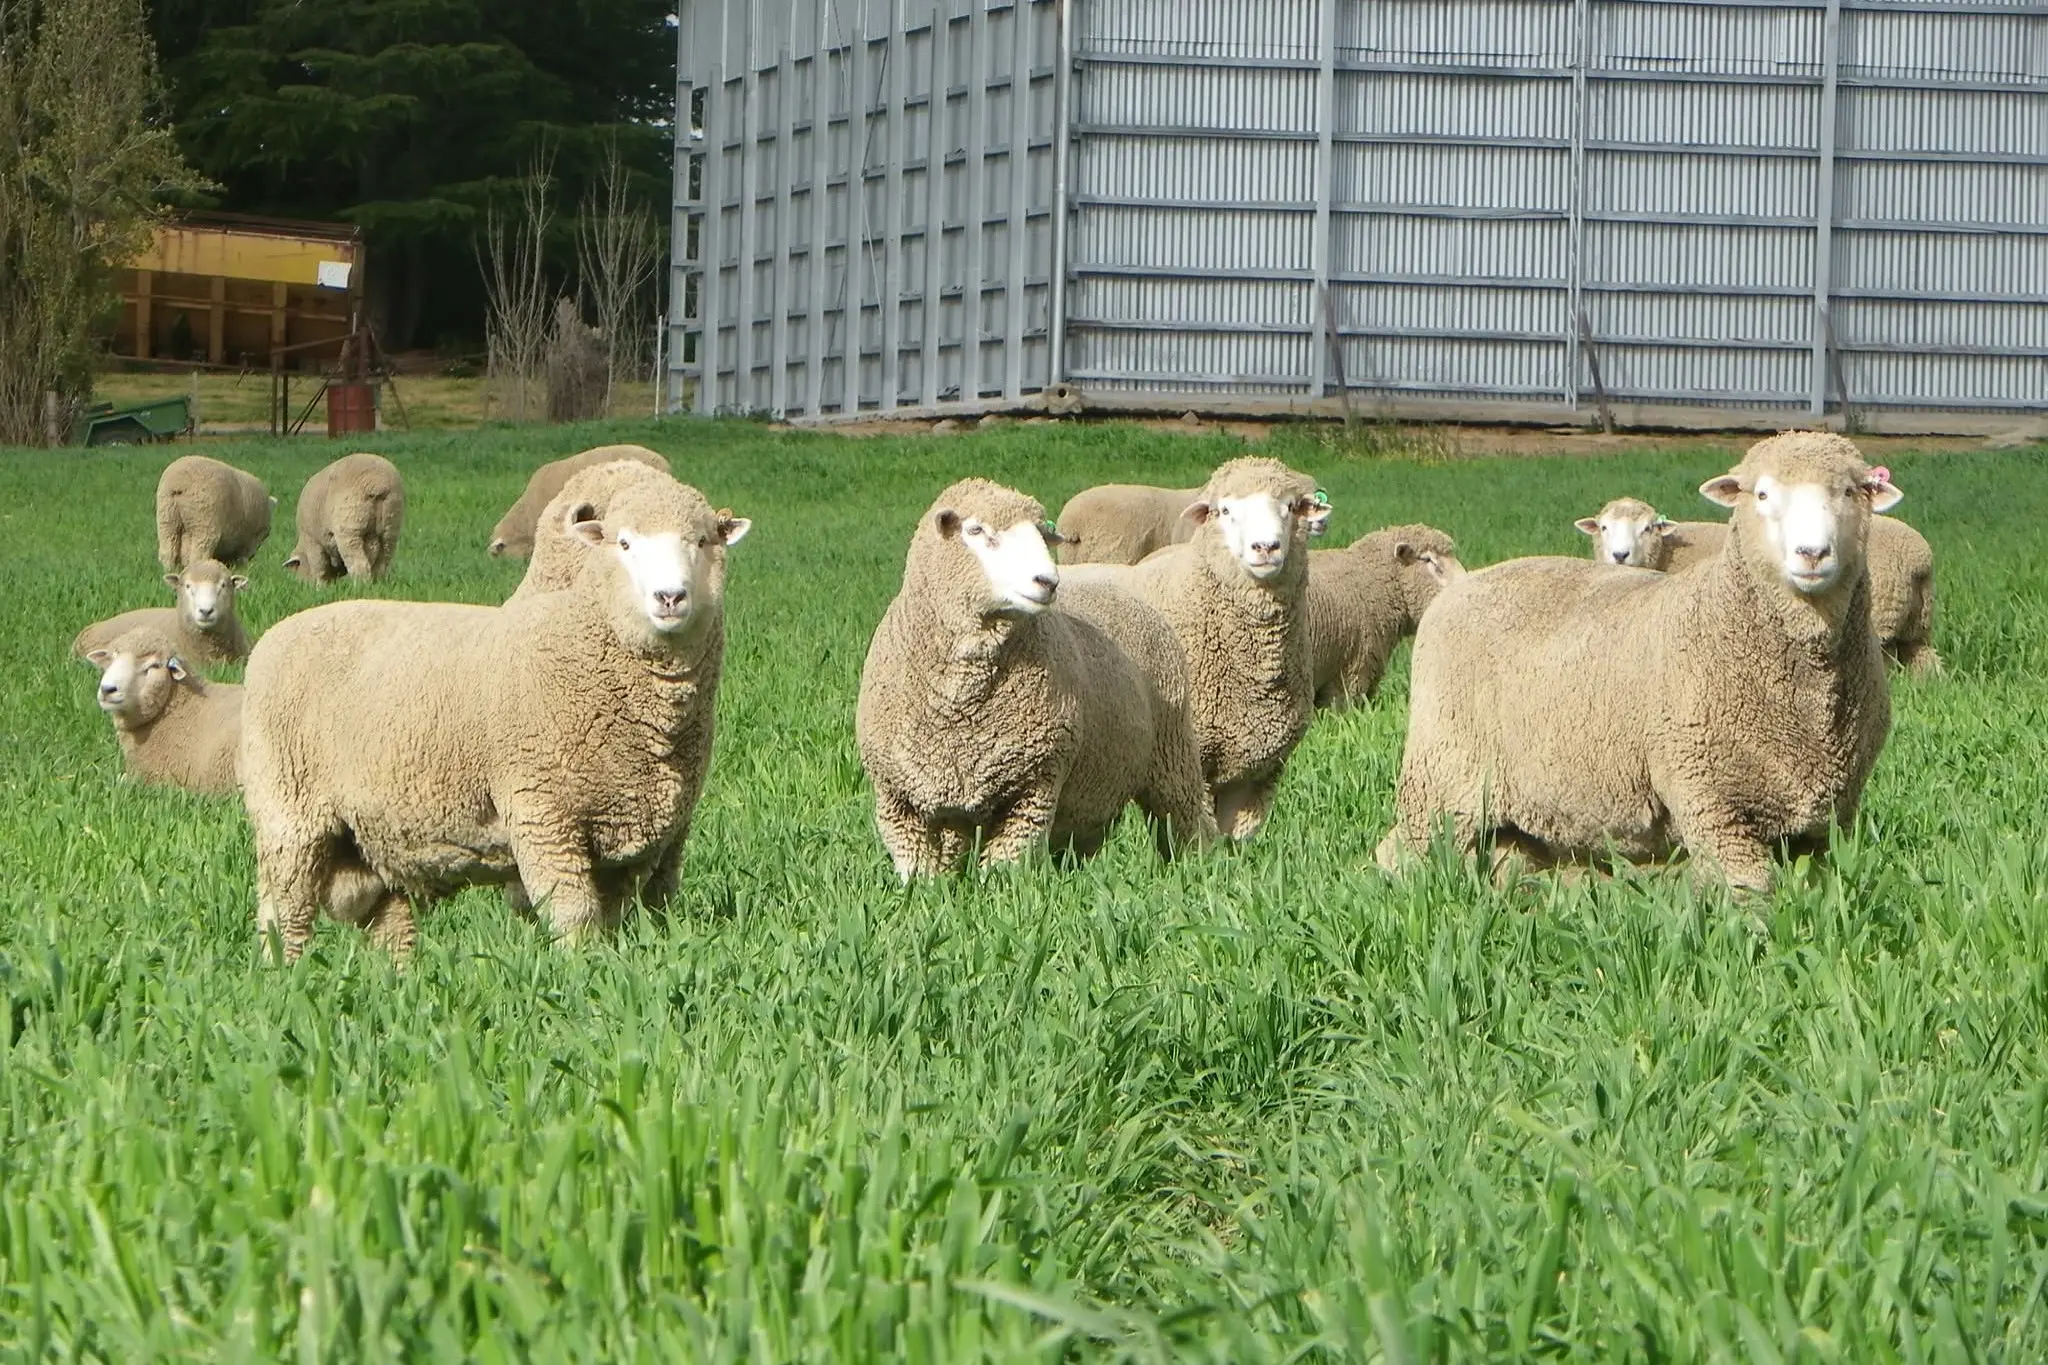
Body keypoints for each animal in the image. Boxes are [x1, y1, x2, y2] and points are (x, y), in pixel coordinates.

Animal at [284, 452, 406, 583]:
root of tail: (378, 483)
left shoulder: (312, 541)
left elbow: (319, 569)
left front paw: (320, 586)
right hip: (390, 528)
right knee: (381, 563)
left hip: (349, 528)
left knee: (359, 563)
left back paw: (359, 585)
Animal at [856, 479, 1215, 877]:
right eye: (976, 530)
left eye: (1042, 534)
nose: (1047, 581)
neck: (959, 706)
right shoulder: (897, 800)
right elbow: (921, 877)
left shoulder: (1035, 785)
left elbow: (1004, 872)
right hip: (1093, 788)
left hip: (1173, 754)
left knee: (1187, 820)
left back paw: (1198, 870)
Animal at [1379, 432, 1901, 895]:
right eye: (1762, 494)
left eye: (1849, 491)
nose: (1812, 553)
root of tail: (1459, 588)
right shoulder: (1710, 800)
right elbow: (1751, 897)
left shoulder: (1827, 820)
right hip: (1443, 773)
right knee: (1400, 851)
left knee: (1509, 857)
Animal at [1577, 495, 1939, 676]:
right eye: (1604, 527)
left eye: (1648, 528)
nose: (1619, 555)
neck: (1666, 554)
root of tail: (1918, 558)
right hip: (1915, 624)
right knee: (1926, 661)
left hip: (1875, 623)